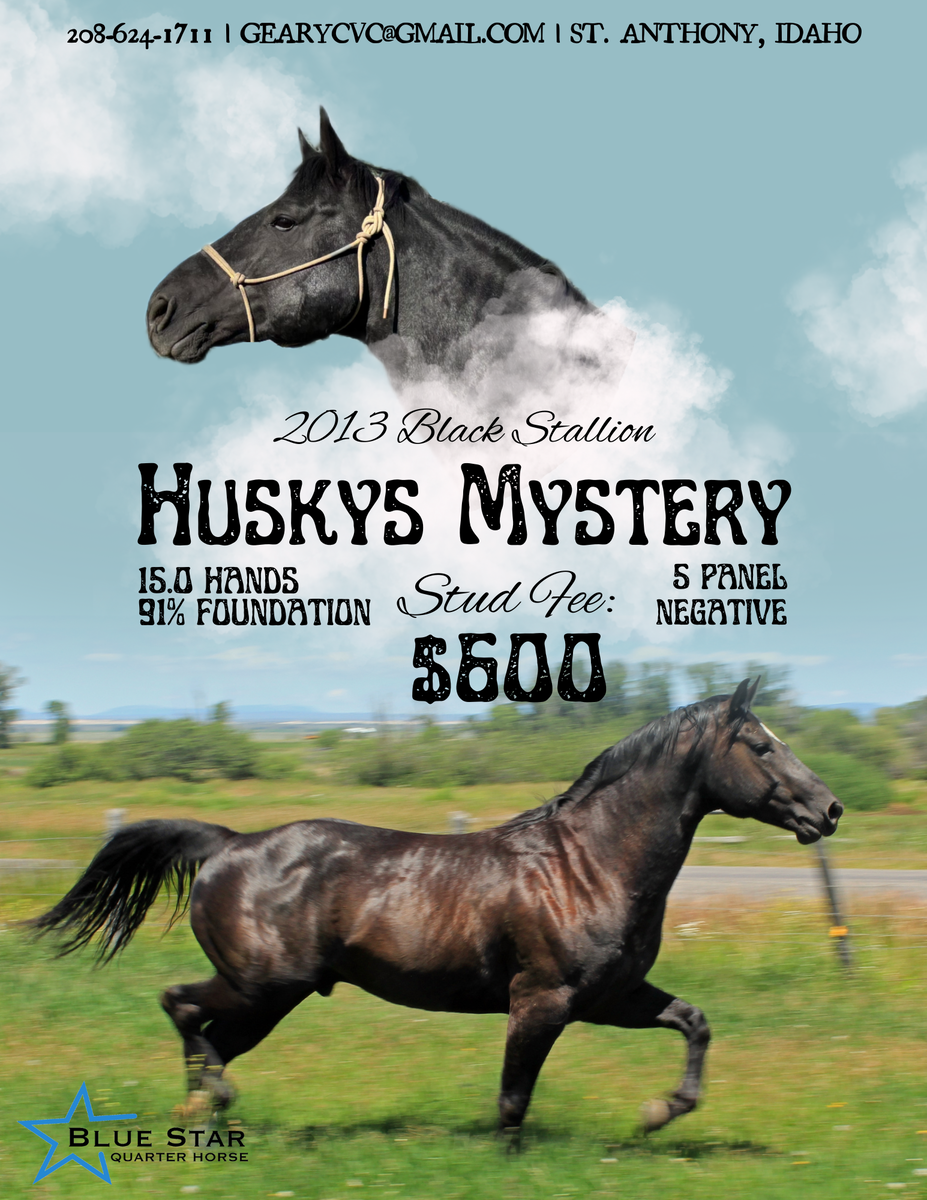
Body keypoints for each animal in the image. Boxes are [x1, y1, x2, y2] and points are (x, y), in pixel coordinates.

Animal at [32, 679, 842, 1137]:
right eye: (759, 746)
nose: (828, 810)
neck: (588, 865)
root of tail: (229, 844)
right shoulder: (541, 1000)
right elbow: (512, 1102)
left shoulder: (610, 996)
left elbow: (694, 1024)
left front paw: (657, 1113)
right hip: (265, 985)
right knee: (183, 1008)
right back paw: (209, 1104)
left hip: (267, 996)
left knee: (205, 1035)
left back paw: (199, 1114)